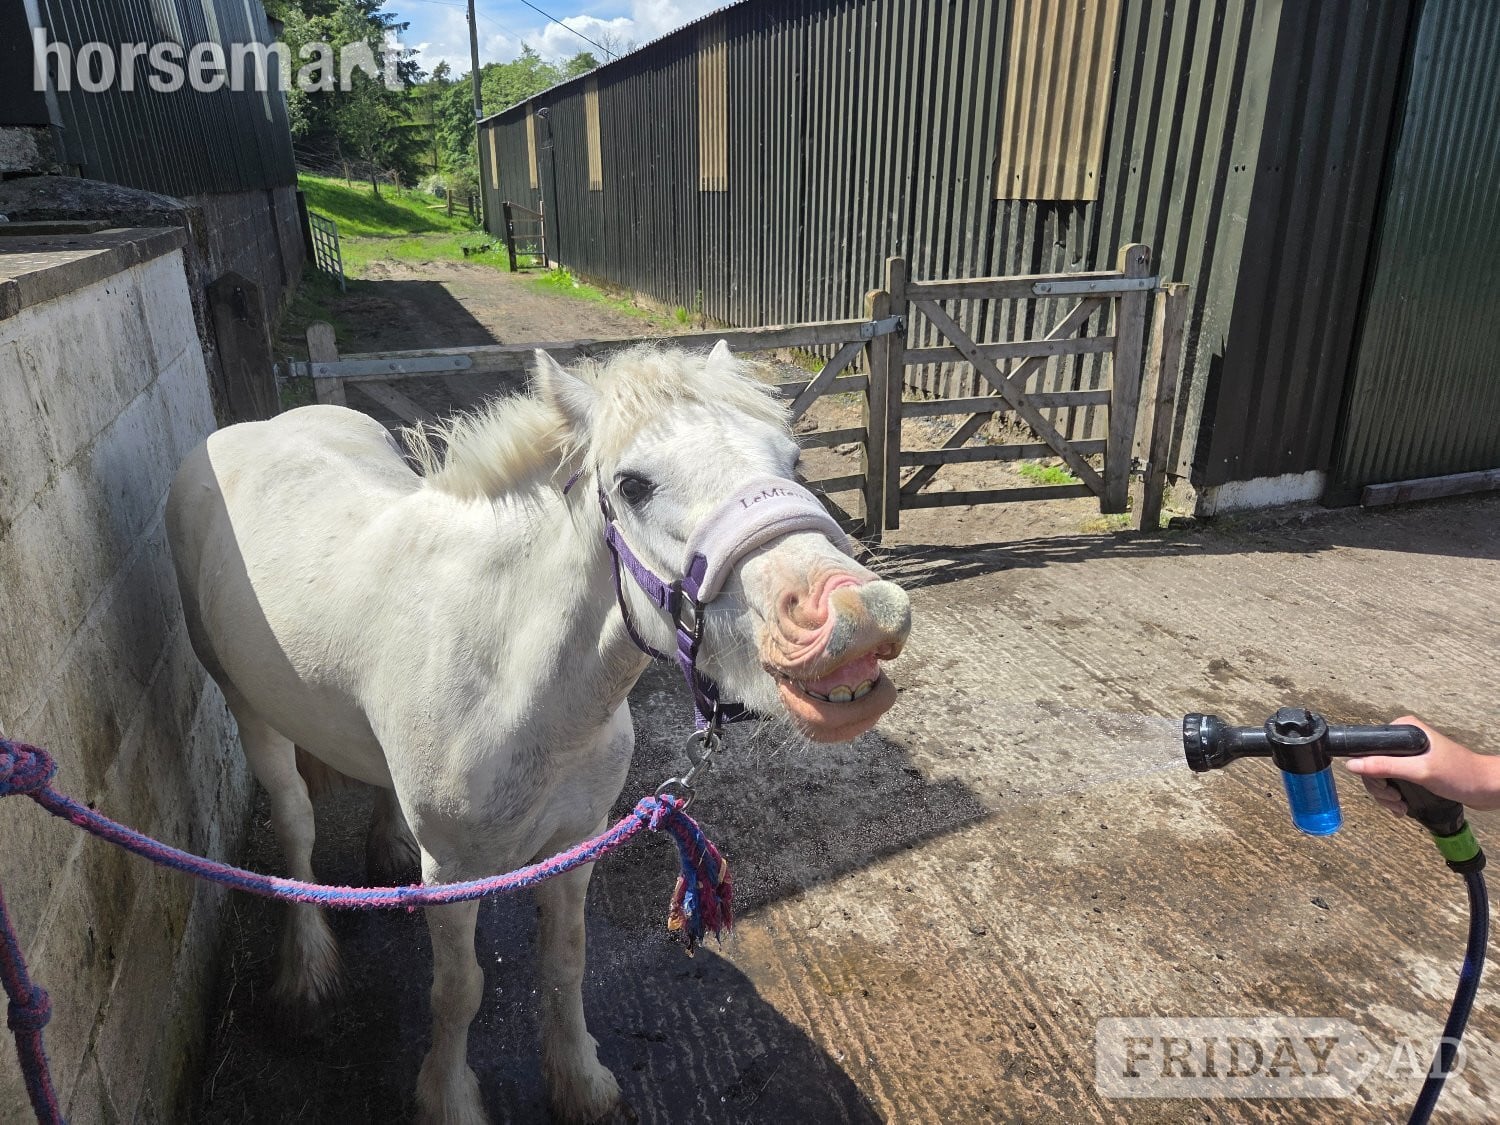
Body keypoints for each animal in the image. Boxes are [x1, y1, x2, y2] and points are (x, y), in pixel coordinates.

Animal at [165, 342, 911, 1123]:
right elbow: (457, 992)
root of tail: (250, 431)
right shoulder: (453, 875)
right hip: (248, 710)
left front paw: (579, 1080)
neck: (515, 680)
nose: (857, 619)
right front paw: (450, 1099)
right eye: (633, 485)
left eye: (793, 459)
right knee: (295, 828)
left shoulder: (574, 842)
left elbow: (566, 963)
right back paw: (306, 968)